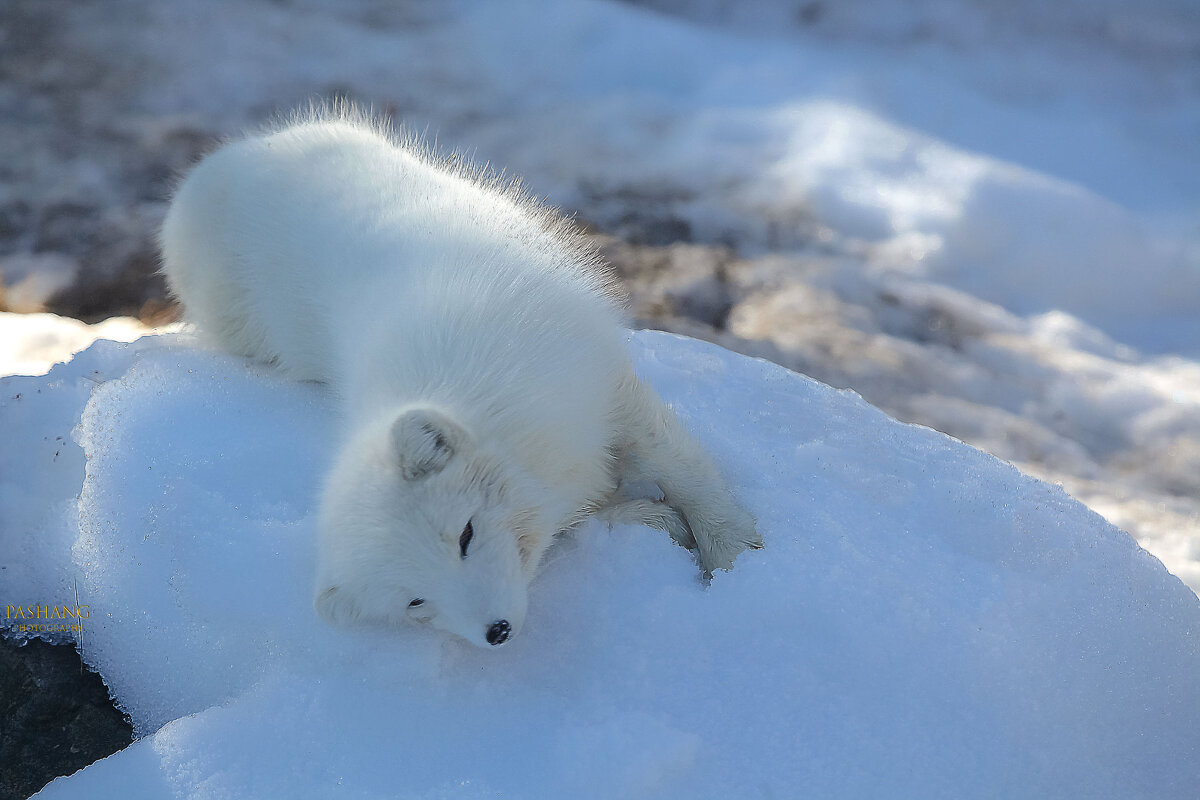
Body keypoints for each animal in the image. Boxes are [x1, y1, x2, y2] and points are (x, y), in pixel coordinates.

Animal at [159, 106, 758, 647]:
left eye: (466, 534)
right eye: (415, 602)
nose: (496, 631)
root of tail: (207, 171)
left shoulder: (602, 387)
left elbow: (685, 470)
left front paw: (736, 555)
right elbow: (593, 517)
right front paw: (654, 522)